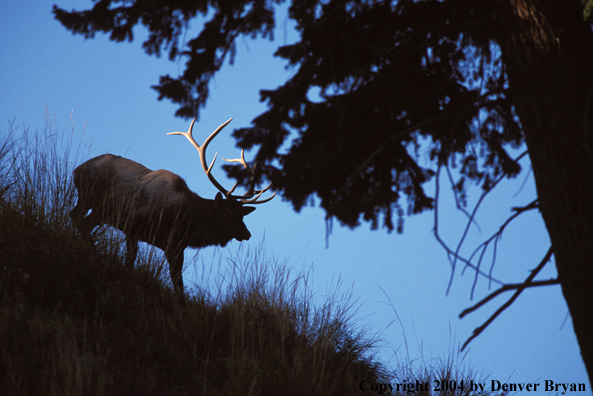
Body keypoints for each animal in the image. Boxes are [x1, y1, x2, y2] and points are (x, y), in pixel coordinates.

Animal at [70, 117, 276, 294]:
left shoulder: (175, 247)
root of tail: (77, 169)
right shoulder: (134, 226)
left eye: (242, 214)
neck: (183, 221)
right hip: (92, 197)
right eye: (228, 212)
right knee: (78, 218)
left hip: (99, 209)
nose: (246, 234)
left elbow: (178, 284)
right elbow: (131, 262)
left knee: (80, 219)